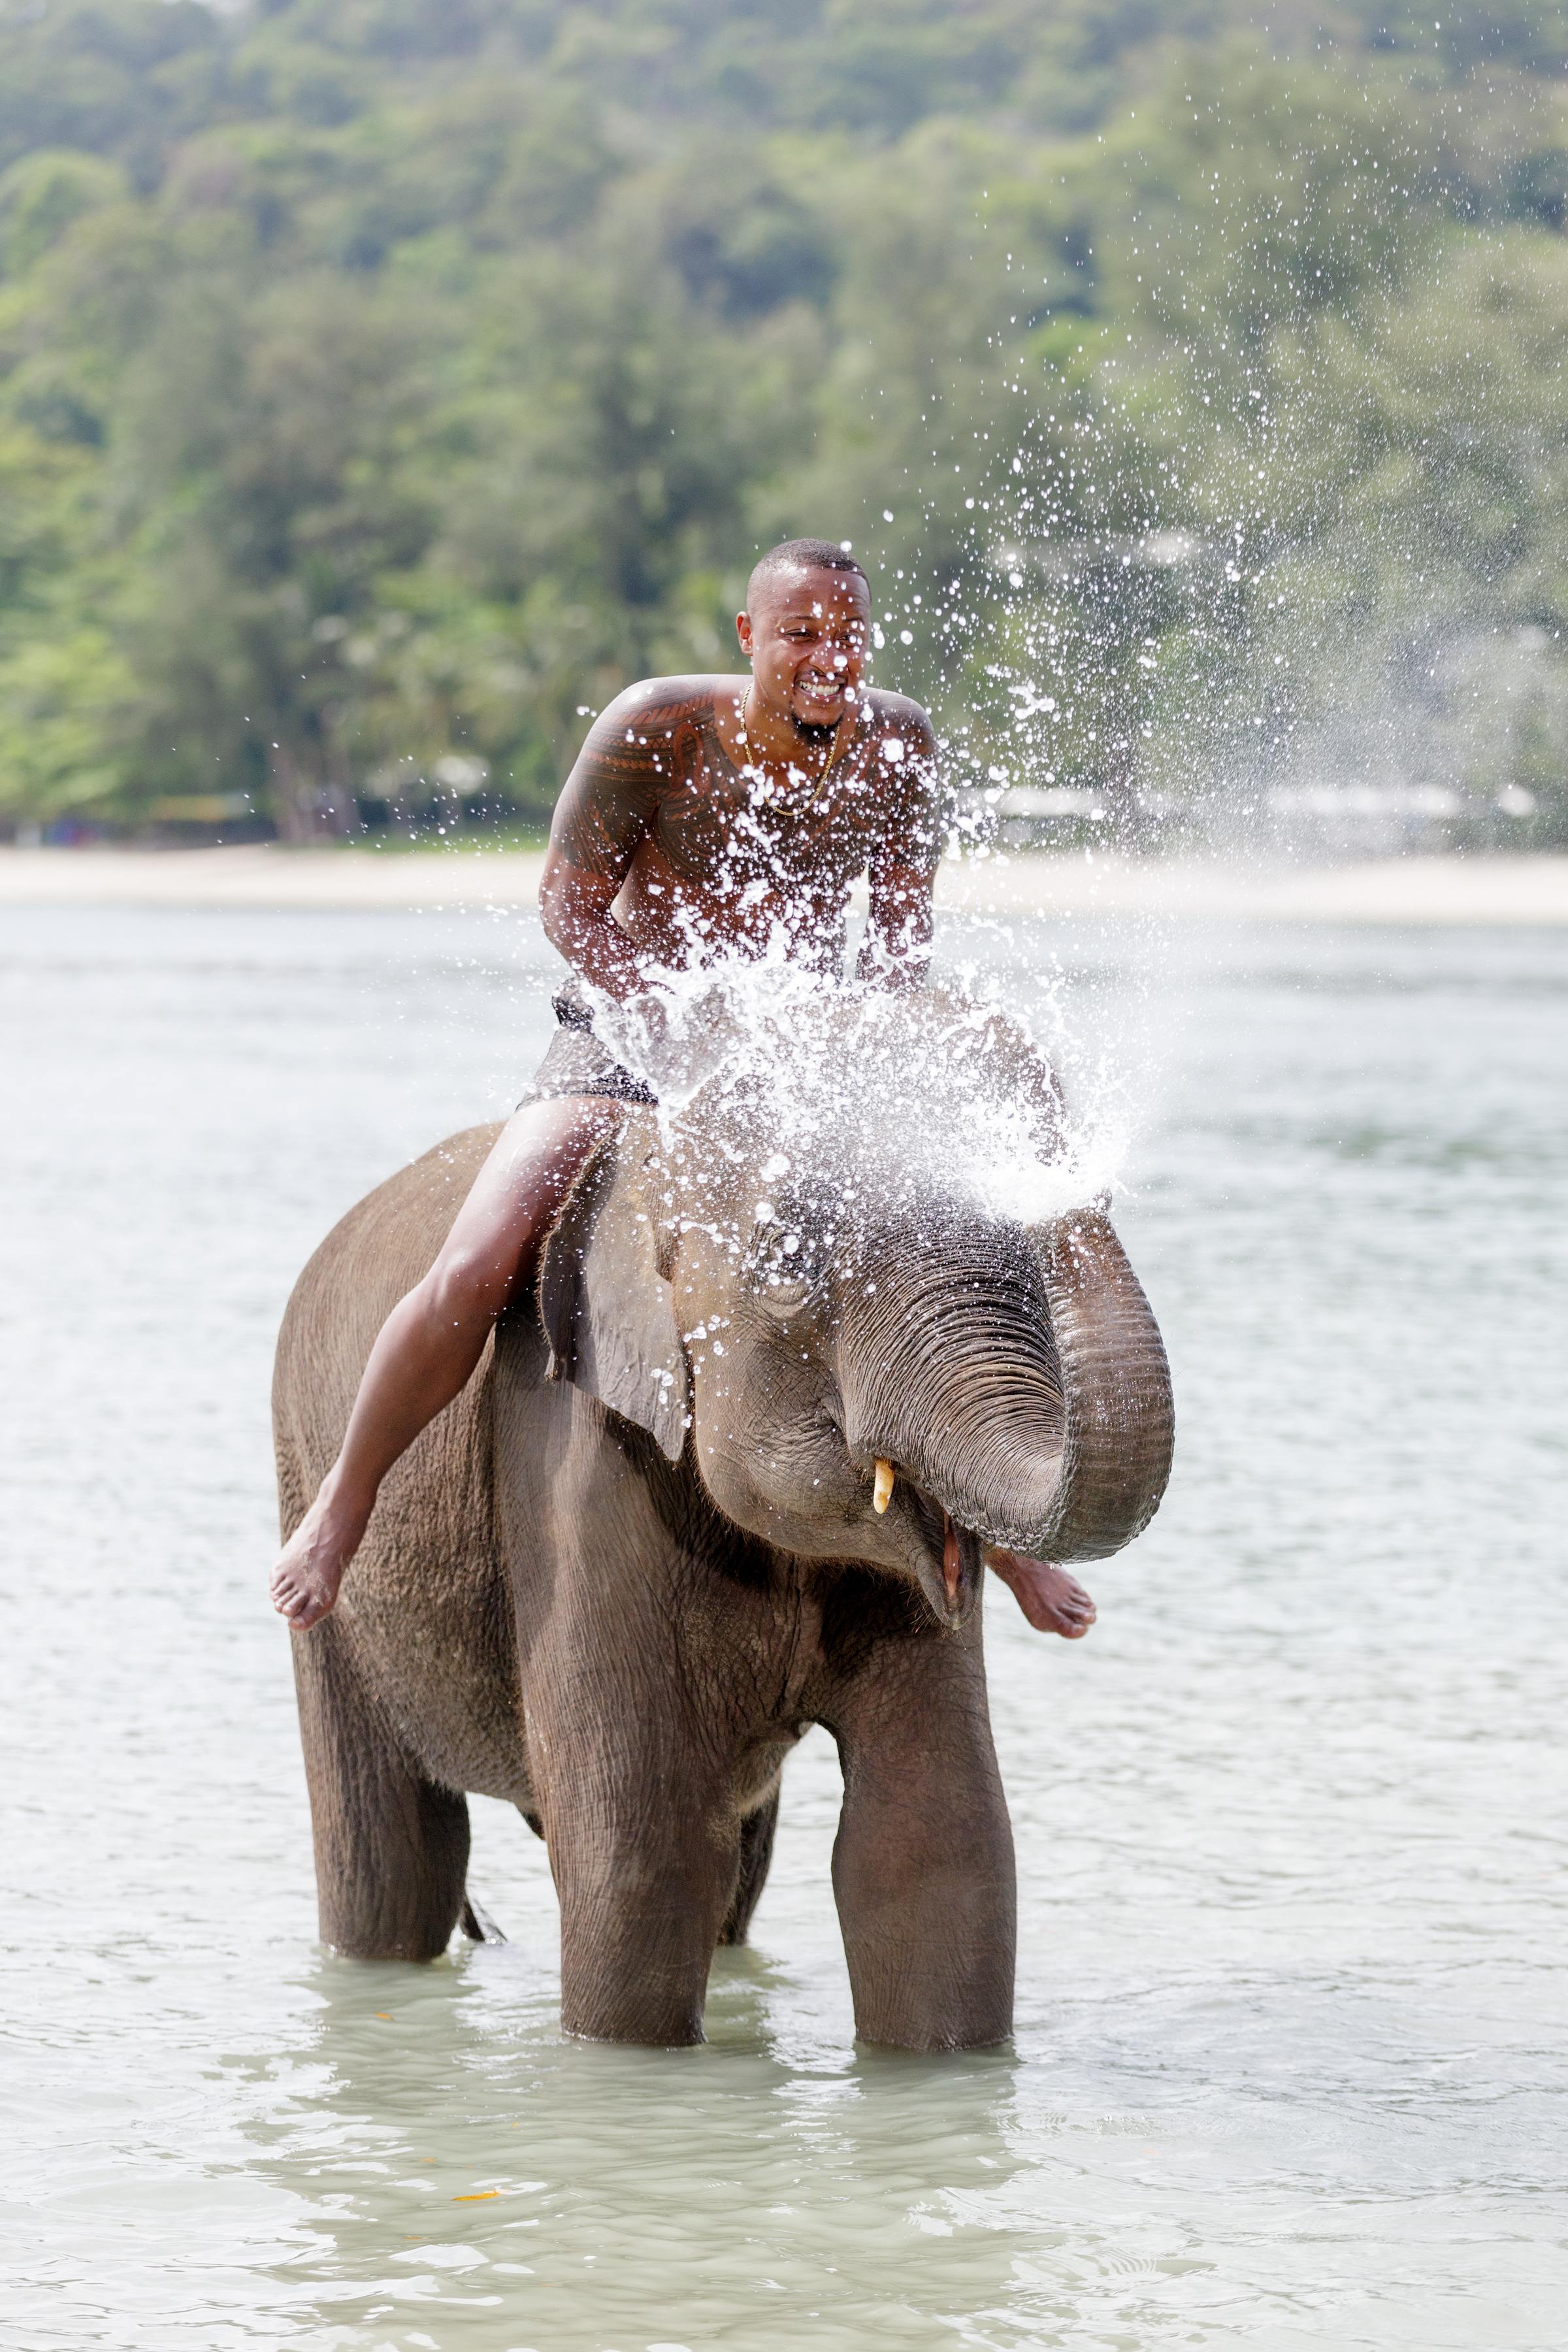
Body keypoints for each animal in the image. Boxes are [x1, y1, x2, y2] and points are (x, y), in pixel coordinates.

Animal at [273, 984, 1173, 2050]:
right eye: (788, 1274)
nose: (1078, 1189)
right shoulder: (575, 1466)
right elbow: (640, 1855)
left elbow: (932, 1843)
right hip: (312, 1507)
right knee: (391, 1858)